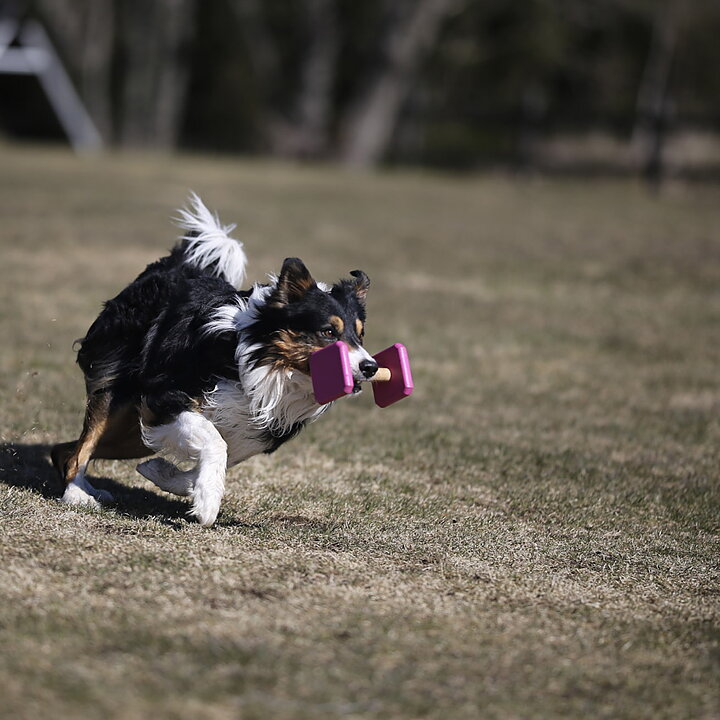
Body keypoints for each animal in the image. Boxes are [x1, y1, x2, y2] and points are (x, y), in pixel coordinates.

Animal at [51, 194, 380, 524]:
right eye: (328, 331)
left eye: (360, 335)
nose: (371, 367)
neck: (264, 363)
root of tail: (173, 267)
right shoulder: (167, 396)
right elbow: (214, 443)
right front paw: (208, 503)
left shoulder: (246, 432)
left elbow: (208, 463)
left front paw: (164, 474)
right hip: (117, 392)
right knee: (79, 450)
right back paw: (77, 494)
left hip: (133, 433)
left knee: (63, 450)